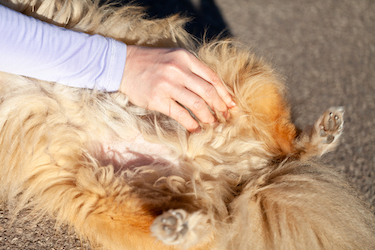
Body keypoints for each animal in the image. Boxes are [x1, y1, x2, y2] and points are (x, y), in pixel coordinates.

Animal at [0, 0, 375, 249]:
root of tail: (237, 173)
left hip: (230, 72)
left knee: (287, 145)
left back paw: (324, 133)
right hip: (101, 201)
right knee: (215, 227)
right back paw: (176, 226)